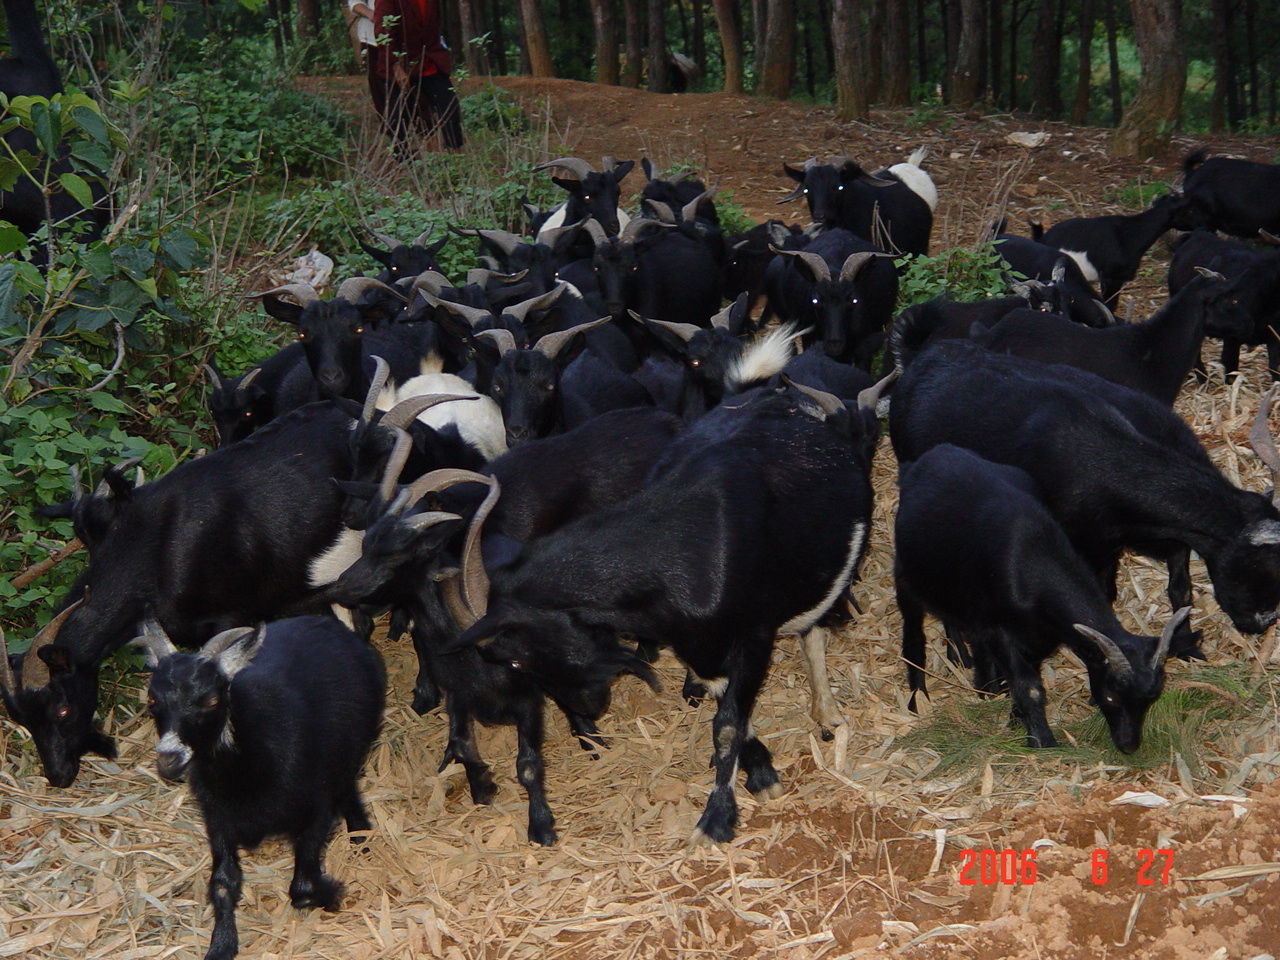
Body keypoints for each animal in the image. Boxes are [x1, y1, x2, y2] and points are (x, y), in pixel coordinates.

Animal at [136, 616, 384, 960]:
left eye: (211, 700)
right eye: (152, 699)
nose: (168, 757)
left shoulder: (317, 811)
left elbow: (302, 885)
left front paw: (332, 894)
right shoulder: (219, 818)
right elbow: (223, 883)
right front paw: (222, 945)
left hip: (355, 744)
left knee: (348, 781)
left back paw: (361, 834)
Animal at [450, 376, 890, 839]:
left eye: (514, 660)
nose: (588, 707)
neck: (685, 548)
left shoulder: (755, 634)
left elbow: (728, 724)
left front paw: (717, 818)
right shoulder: (697, 644)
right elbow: (730, 710)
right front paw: (758, 770)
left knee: (815, 626)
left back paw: (829, 713)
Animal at [896, 442, 1182, 752]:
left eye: (1150, 699)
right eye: (1110, 696)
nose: (1128, 745)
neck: (1031, 559)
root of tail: (937, 453)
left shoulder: (1037, 636)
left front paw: (1015, 719)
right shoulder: (1002, 631)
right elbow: (1030, 687)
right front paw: (1042, 742)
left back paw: (966, 664)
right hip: (905, 578)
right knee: (914, 637)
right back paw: (917, 700)